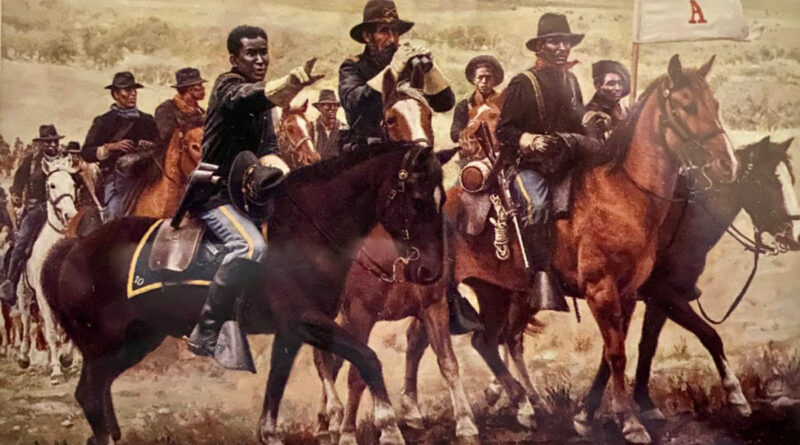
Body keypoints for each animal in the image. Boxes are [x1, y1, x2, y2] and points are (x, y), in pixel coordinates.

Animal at [14, 158, 78, 383]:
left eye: (73, 184)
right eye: (52, 185)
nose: (70, 215)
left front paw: (66, 359)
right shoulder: (41, 295)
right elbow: (50, 331)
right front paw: (57, 371)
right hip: (24, 294)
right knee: (26, 323)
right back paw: (24, 357)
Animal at [41, 69, 447, 445]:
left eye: (441, 197)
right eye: (418, 199)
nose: (430, 270)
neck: (305, 229)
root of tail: (72, 248)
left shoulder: (292, 331)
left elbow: (276, 389)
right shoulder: (308, 320)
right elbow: (367, 359)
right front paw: (389, 428)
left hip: (135, 339)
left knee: (100, 397)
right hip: (104, 346)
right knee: (90, 396)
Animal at [311, 70, 479, 445]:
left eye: (428, 114)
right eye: (391, 118)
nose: (425, 158)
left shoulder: (433, 305)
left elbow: (447, 361)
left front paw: (465, 422)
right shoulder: (360, 314)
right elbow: (358, 373)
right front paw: (361, 431)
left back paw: (328, 419)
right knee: (322, 358)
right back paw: (334, 415)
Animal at [403, 55, 738, 444]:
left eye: (714, 104)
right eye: (685, 105)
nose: (727, 164)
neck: (622, 195)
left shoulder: (628, 293)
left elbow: (614, 351)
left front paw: (589, 416)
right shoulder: (602, 289)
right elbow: (617, 354)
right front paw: (630, 422)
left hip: (496, 292)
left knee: (482, 341)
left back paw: (520, 405)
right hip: (439, 291)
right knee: (428, 339)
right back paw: (431, 412)